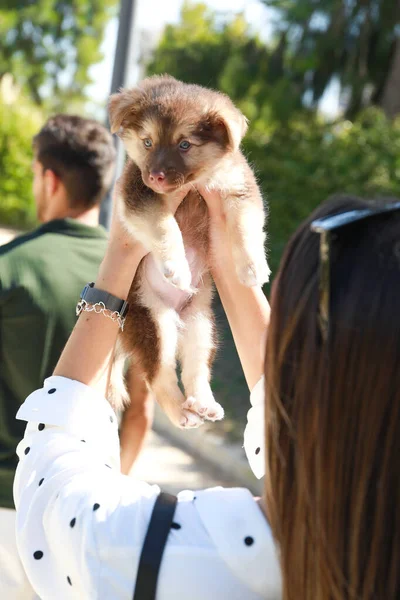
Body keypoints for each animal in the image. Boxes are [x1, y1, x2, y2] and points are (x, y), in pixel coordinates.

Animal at [107, 75, 268, 428]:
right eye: (147, 142)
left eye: (185, 145)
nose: (156, 176)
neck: (195, 184)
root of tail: (177, 314)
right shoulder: (137, 193)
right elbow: (165, 226)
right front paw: (177, 267)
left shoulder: (239, 187)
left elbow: (246, 227)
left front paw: (252, 266)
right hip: (154, 321)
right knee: (159, 375)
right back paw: (181, 411)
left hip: (201, 325)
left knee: (196, 370)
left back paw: (204, 404)